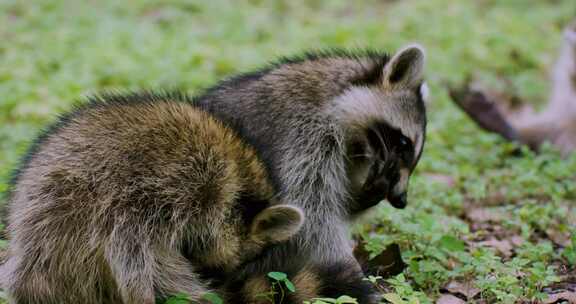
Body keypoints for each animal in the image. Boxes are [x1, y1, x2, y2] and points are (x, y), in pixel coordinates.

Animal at [1, 93, 306, 304]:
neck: (236, 181)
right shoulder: (182, 186)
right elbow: (141, 256)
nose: (220, 281)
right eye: (224, 268)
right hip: (69, 213)